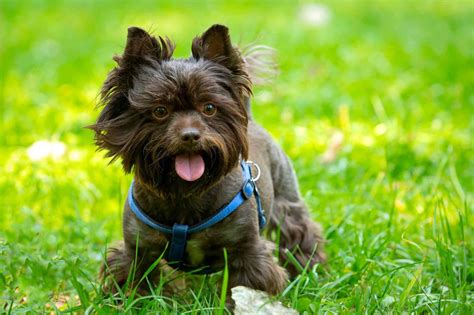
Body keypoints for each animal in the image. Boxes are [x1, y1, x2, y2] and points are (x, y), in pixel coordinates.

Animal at [90, 23, 324, 300]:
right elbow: (135, 281)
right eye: (160, 111)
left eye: (209, 108)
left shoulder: (246, 250)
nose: (190, 135)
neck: (184, 193)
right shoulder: (138, 250)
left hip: (286, 200)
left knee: (299, 233)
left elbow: (246, 284)